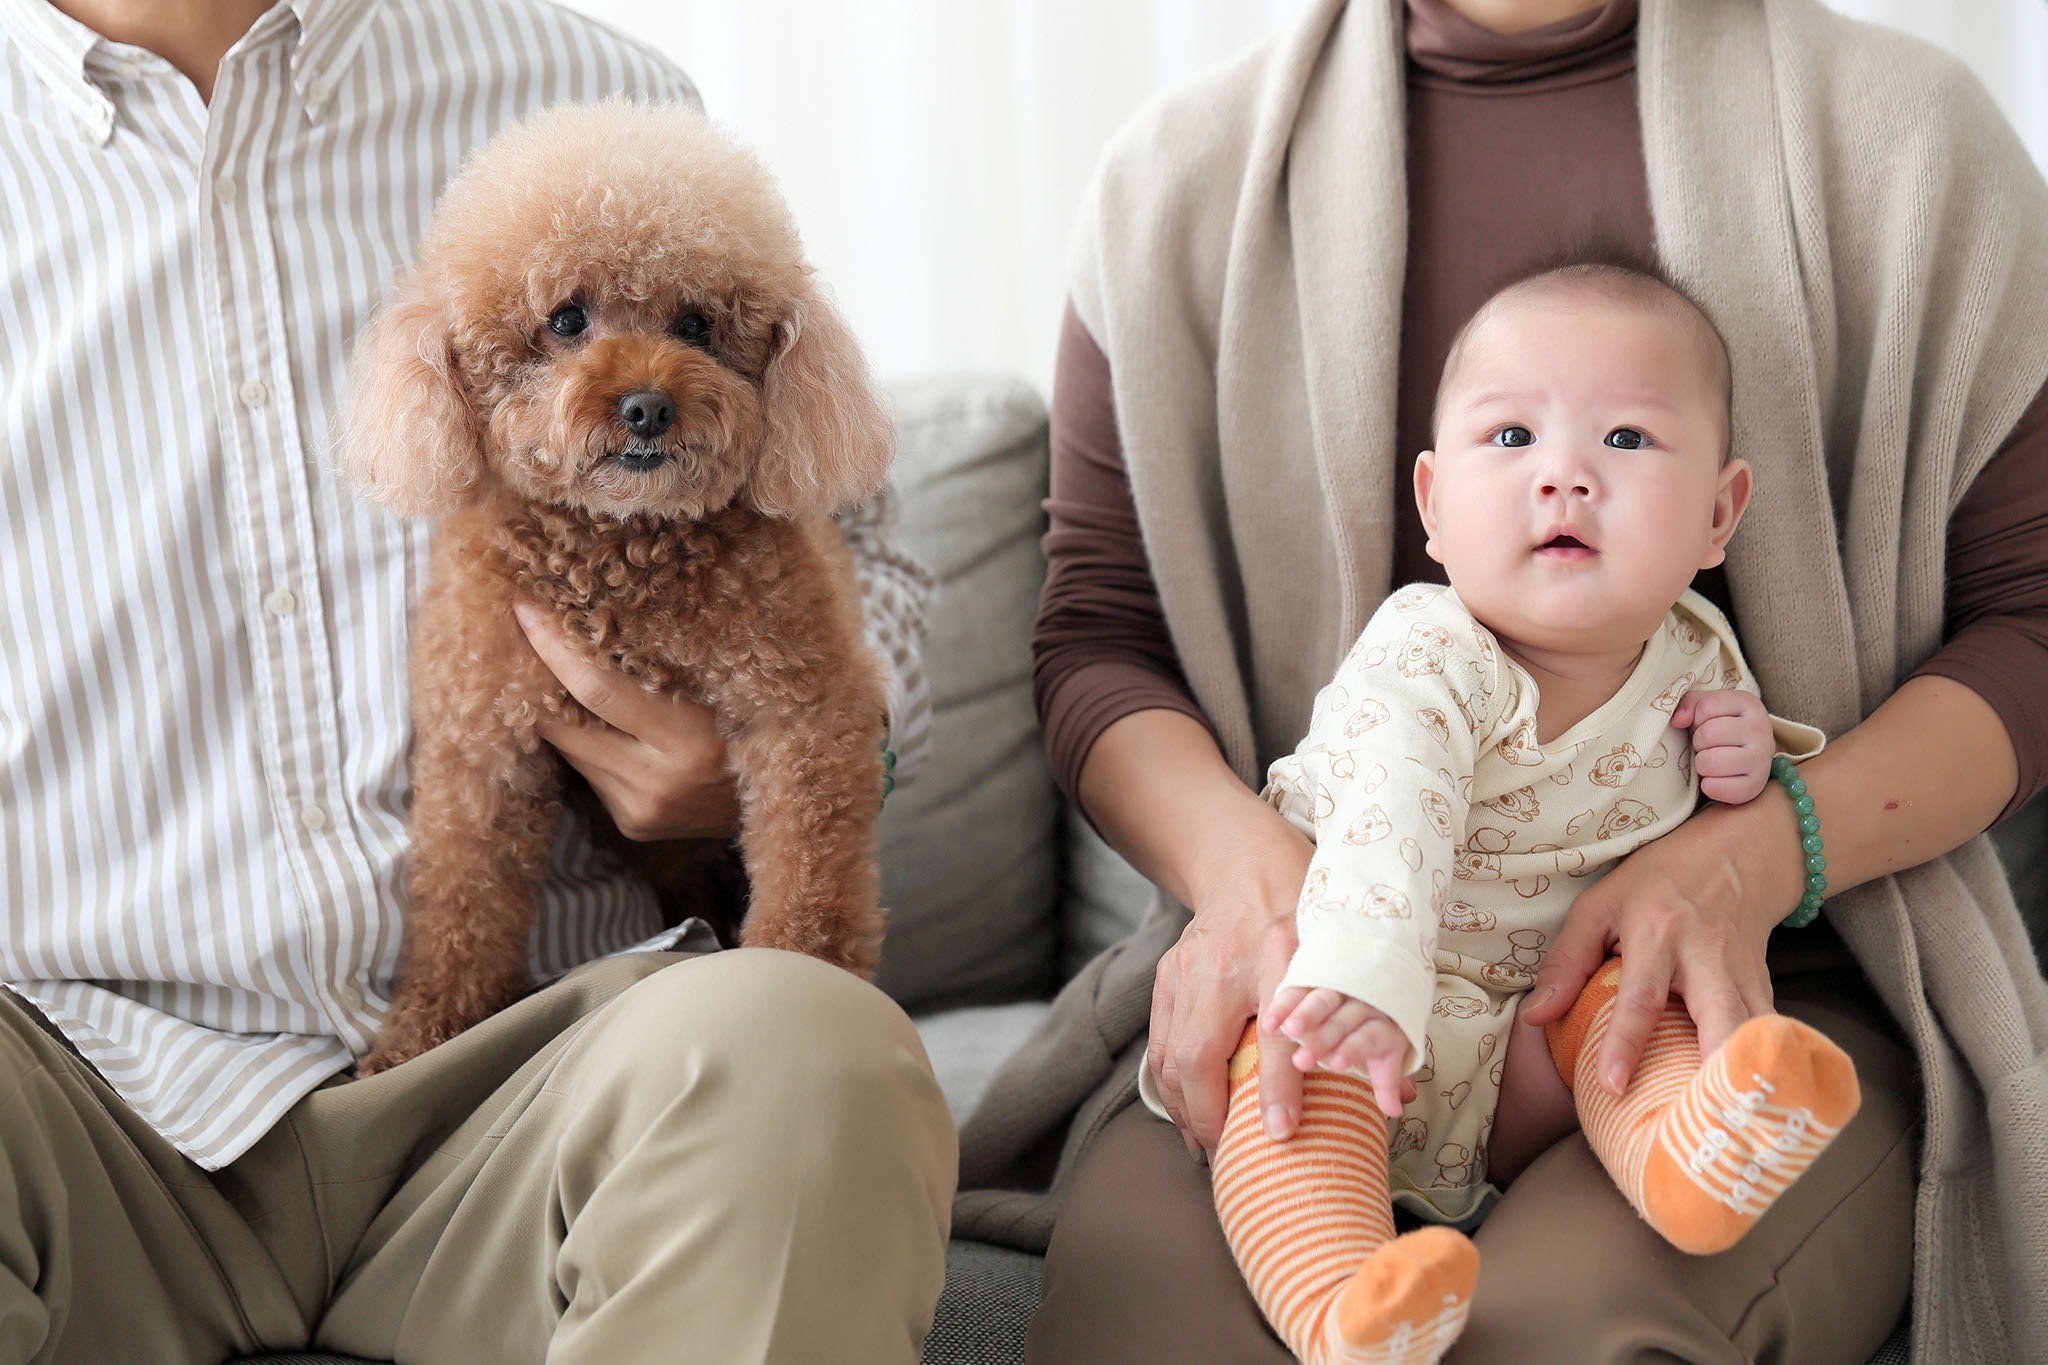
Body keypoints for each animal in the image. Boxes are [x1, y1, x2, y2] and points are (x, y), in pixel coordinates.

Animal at [340, 100, 893, 1074]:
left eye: (698, 323)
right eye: (565, 318)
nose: (647, 406)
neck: (620, 552)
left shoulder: (804, 714)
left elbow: (811, 880)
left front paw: (800, 974)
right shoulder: (483, 746)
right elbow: (458, 901)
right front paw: (418, 1035)